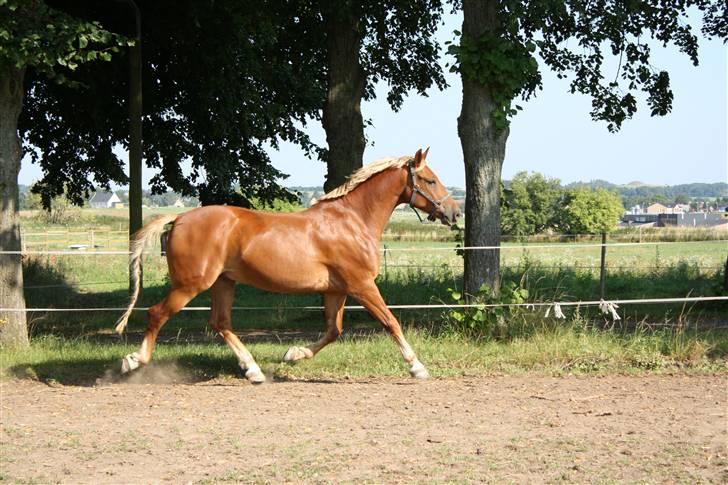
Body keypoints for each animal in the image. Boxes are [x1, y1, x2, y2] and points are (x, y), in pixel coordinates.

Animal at [115, 147, 460, 382]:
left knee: (220, 323)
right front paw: (417, 367)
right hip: (191, 284)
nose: (454, 213)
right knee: (158, 314)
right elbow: (391, 322)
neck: (352, 221)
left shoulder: (337, 290)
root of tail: (180, 217)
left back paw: (253, 370)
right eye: (430, 180)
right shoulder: (362, 285)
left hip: (223, 282)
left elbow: (333, 330)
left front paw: (293, 354)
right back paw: (133, 360)